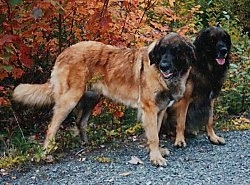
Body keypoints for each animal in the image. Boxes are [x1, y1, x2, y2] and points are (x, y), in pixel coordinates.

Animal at [12, 32, 194, 165]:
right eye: (162, 51)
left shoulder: (160, 110)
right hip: (70, 99)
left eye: (176, 51)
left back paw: (86, 144)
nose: (164, 66)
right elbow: (154, 136)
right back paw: (46, 154)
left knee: (80, 121)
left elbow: (156, 130)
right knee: (51, 128)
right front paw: (156, 157)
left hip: (92, 98)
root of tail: (64, 52)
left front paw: (157, 152)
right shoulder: (149, 109)